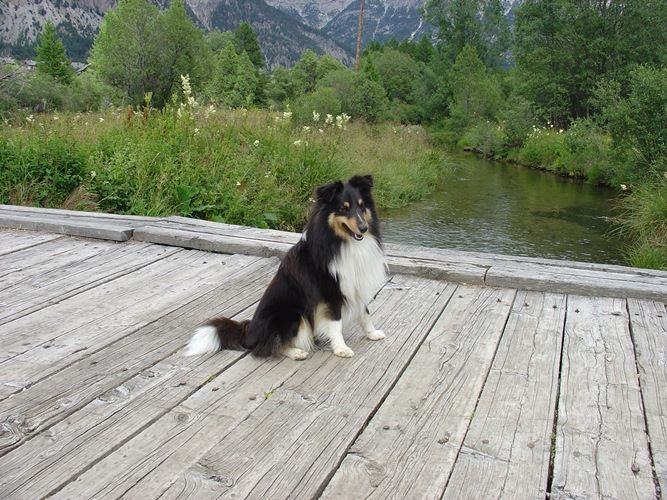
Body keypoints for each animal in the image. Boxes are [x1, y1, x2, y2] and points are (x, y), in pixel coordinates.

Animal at [185, 175, 388, 360]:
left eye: (361, 206)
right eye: (343, 209)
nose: (363, 228)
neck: (341, 241)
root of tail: (249, 332)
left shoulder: (356, 285)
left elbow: (365, 313)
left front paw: (372, 333)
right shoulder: (330, 292)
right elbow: (335, 322)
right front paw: (341, 348)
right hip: (293, 314)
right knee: (268, 346)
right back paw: (296, 352)